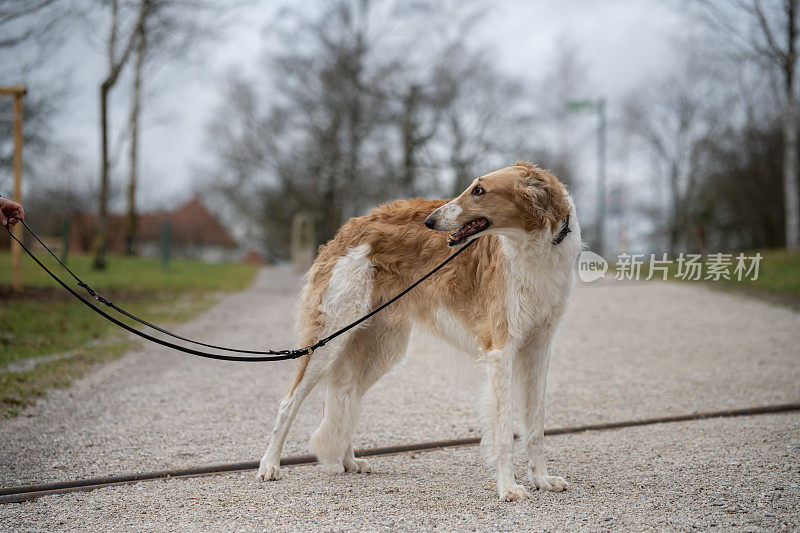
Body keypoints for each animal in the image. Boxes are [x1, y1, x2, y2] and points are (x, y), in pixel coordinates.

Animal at [260, 160, 580, 500]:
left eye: (479, 190)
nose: (430, 221)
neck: (537, 246)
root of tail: (348, 228)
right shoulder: (500, 349)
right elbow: (505, 430)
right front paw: (508, 488)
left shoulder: (539, 346)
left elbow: (536, 428)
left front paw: (542, 479)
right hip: (330, 339)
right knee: (289, 403)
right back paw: (269, 465)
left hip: (377, 347)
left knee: (346, 396)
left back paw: (348, 461)